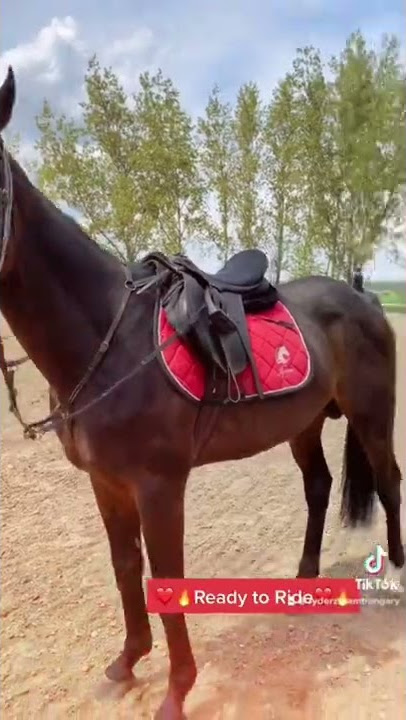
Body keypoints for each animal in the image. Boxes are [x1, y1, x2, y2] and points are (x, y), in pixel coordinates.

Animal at [0, 68, 404, 720]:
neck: (108, 337)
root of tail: (364, 296)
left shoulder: (159, 486)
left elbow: (167, 577)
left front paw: (176, 690)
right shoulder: (106, 484)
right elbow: (125, 569)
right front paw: (127, 662)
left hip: (371, 412)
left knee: (388, 479)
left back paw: (394, 566)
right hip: (304, 424)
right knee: (319, 486)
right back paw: (305, 575)